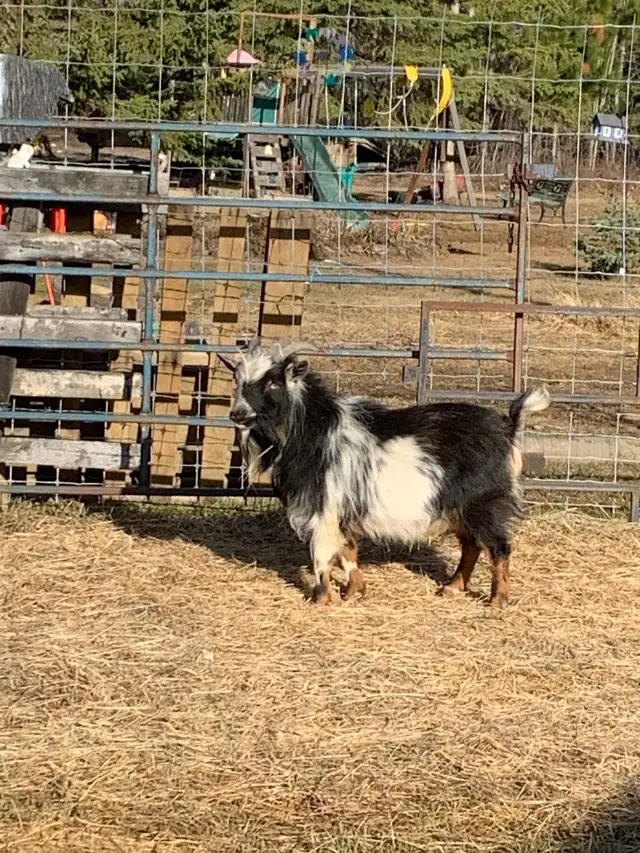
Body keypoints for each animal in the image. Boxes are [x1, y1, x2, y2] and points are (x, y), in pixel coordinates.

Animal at [221, 339, 550, 608]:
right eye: (238, 379)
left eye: (273, 383)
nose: (237, 414)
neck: (313, 430)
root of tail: (508, 427)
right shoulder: (342, 509)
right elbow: (348, 550)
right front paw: (354, 591)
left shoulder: (324, 509)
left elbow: (322, 556)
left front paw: (321, 600)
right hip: (460, 507)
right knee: (471, 545)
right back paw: (451, 588)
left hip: (484, 503)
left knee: (498, 548)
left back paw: (497, 600)